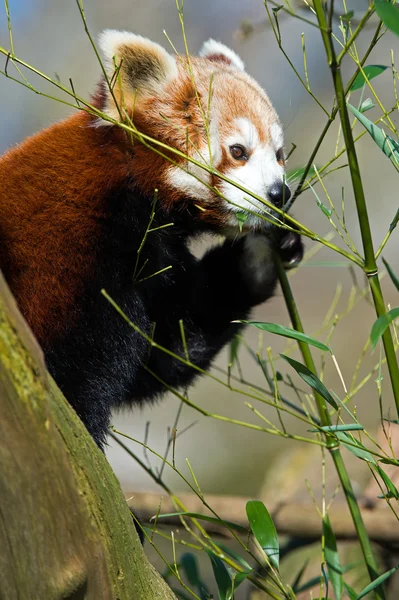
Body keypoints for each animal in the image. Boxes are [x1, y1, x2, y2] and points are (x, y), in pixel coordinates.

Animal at [0, 30, 304, 448]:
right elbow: (82, 364)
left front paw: (258, 256)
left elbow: (170, 343)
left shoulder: (157, 258)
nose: (279, 193)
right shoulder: (75, 247)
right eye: (238, 151)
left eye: (278, 154)